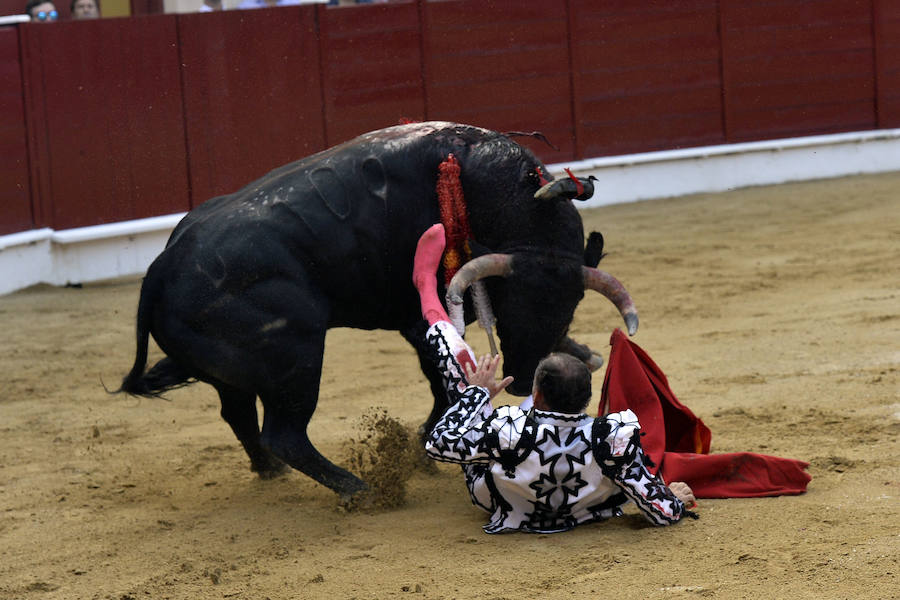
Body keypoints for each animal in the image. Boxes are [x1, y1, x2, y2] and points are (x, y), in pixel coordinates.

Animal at [121, 122, 640, 496]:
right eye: (510, 298)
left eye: (571, 302)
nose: (526, 372)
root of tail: (162, 267)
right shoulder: (417, 321)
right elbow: (440, 382)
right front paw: (420, 446)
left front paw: (584, 352)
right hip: (296, 357)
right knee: (284, 433)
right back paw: (359, 489)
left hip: (235, 369)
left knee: (240, 416)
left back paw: (271, 473)